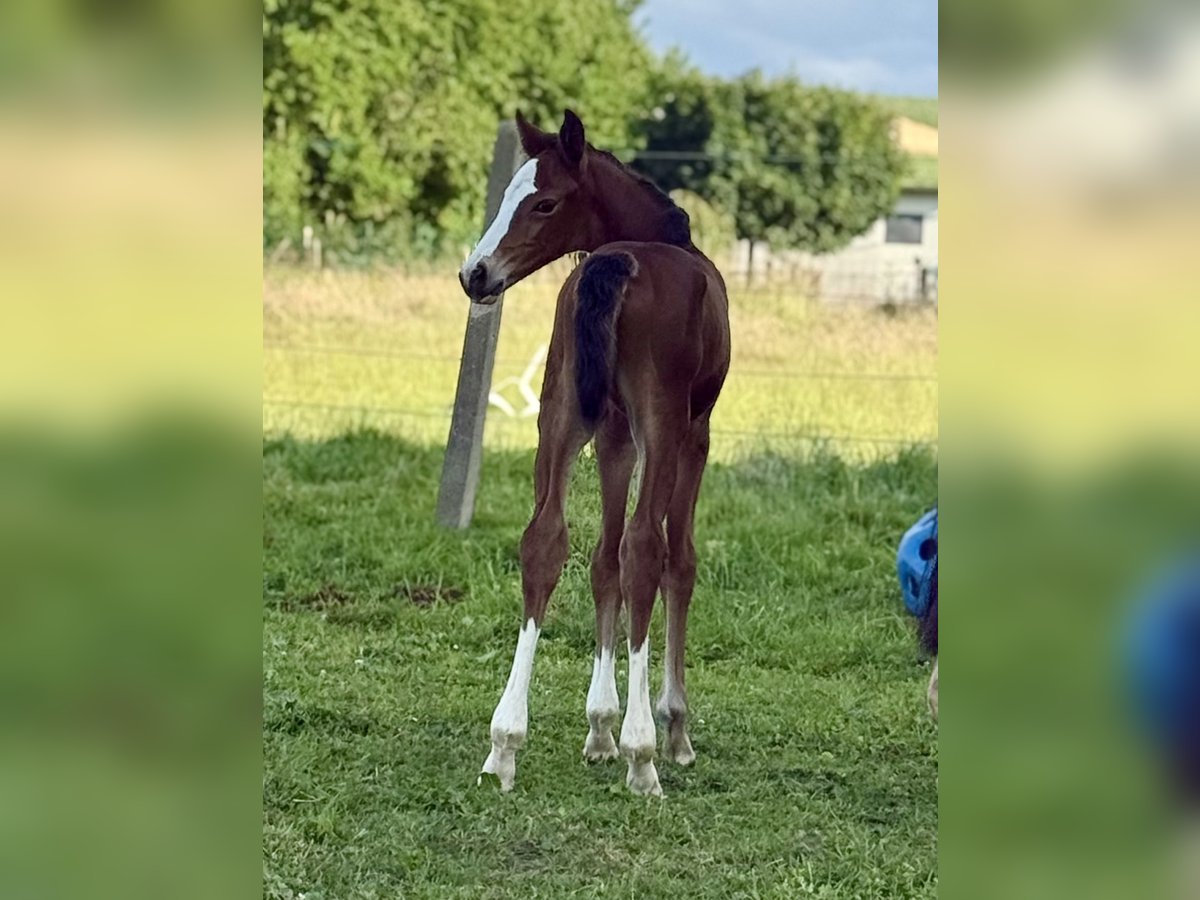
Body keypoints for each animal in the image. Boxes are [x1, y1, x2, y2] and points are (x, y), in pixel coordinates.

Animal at [458, 109, 731, 796]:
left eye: (544, 202)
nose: (475, 274)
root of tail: (618, 266)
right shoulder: (694, 431)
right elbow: (676, 560)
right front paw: (670, 728)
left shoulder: (611, 433)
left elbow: (600, 559)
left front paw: (599, 726)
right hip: (662, 425)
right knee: (646, 549)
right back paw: (645, 754)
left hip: (559, 415)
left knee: (544, 541)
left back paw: (505, 742)